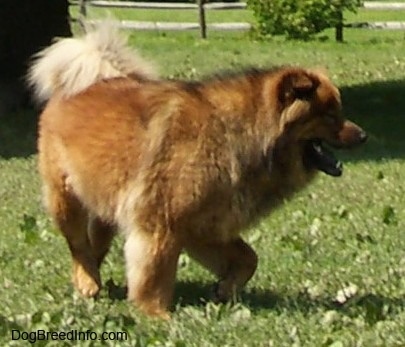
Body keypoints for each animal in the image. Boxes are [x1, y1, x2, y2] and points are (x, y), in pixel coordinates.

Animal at [30, 25, 366, 318]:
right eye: (330, 115)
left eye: (339, 112)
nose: (362, 135)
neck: (238, 133)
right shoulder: (161, 224)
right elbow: (154, 275)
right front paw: (155, 314)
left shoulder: (206, 225)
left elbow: (249, 258)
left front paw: (225, 289)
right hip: (65, 198)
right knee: (78, 244)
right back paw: (87, 280)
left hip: (106, 203)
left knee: (95, 243)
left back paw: (94, 279)